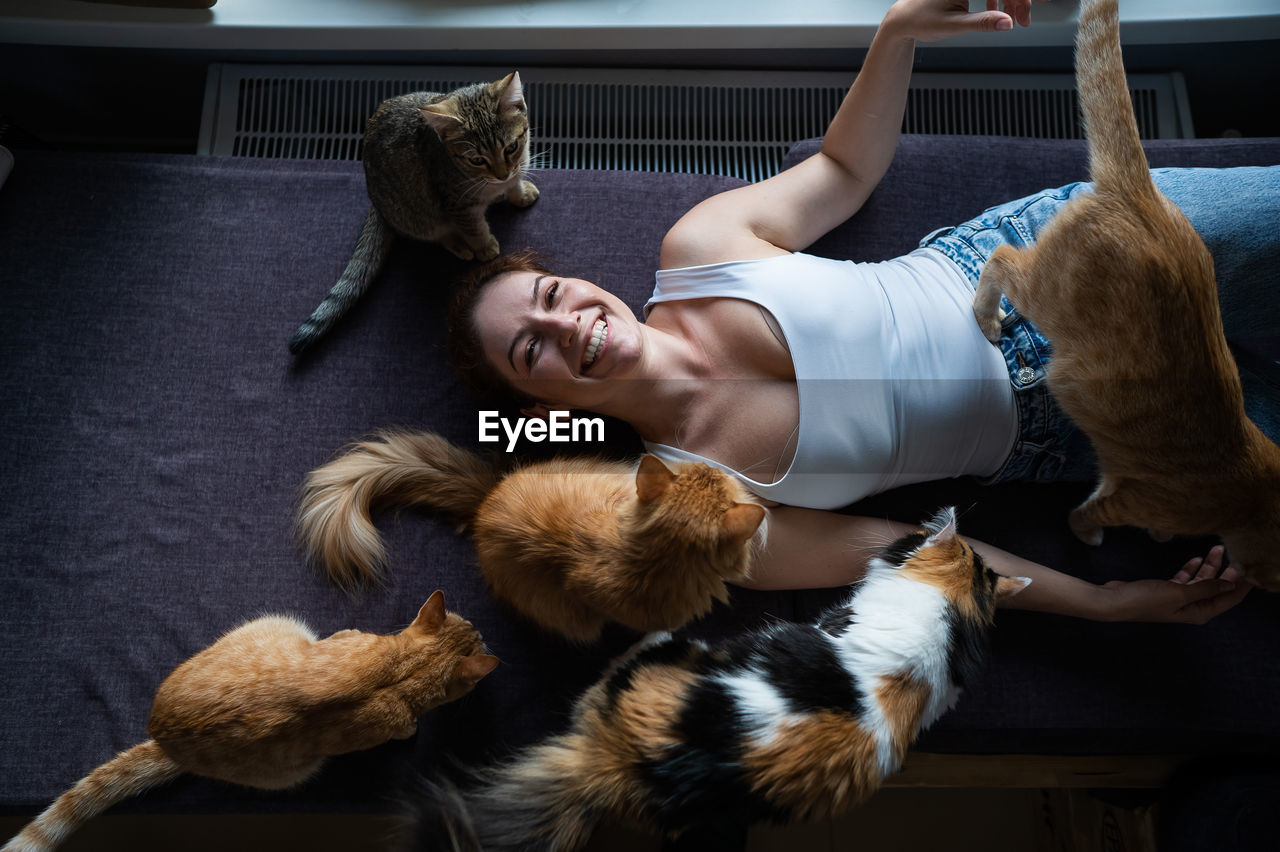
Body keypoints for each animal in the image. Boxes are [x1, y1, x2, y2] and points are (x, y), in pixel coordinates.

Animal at [288, 71, 537, 353]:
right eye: (476, 160)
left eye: (511, 147)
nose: (501, 174)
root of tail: (375, 202)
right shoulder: (456, 203)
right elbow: (475, 227)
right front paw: (484, 246)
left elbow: (516, 182)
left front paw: (520, 193)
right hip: (420, 215)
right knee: (437, 233)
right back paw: (460, 244)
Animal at [967, 0, 1280, 588]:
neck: (1251, 494)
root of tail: (1139, 191)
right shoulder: (1129, 498)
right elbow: (1089, 514)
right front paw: (1102, 536)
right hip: (1046, 297)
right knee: (1000, 259)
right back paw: (988, 318)